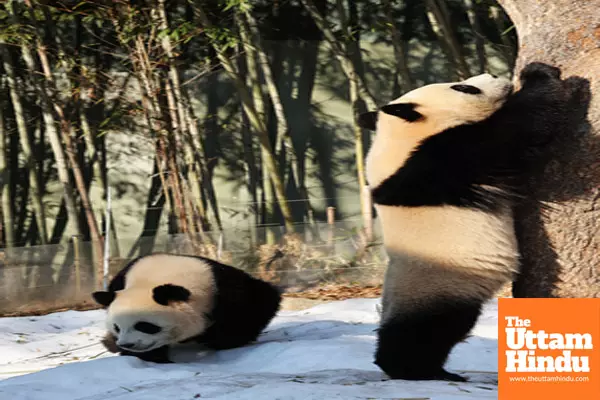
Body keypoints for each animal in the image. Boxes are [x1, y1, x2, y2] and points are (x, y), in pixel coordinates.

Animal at [91, 253, 284, 362]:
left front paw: (223, 340)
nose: (127, 344)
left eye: (145, 326)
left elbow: (255, 306)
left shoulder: (223, 288)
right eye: (117, 327)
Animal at [356, 61, 580, 382]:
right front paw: (538, 75)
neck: (399, 139)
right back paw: (413, 369)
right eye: (464, 88)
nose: (495, 75)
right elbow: (518, 128)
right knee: (424, 333)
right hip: (439, 287)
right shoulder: (442, 158)